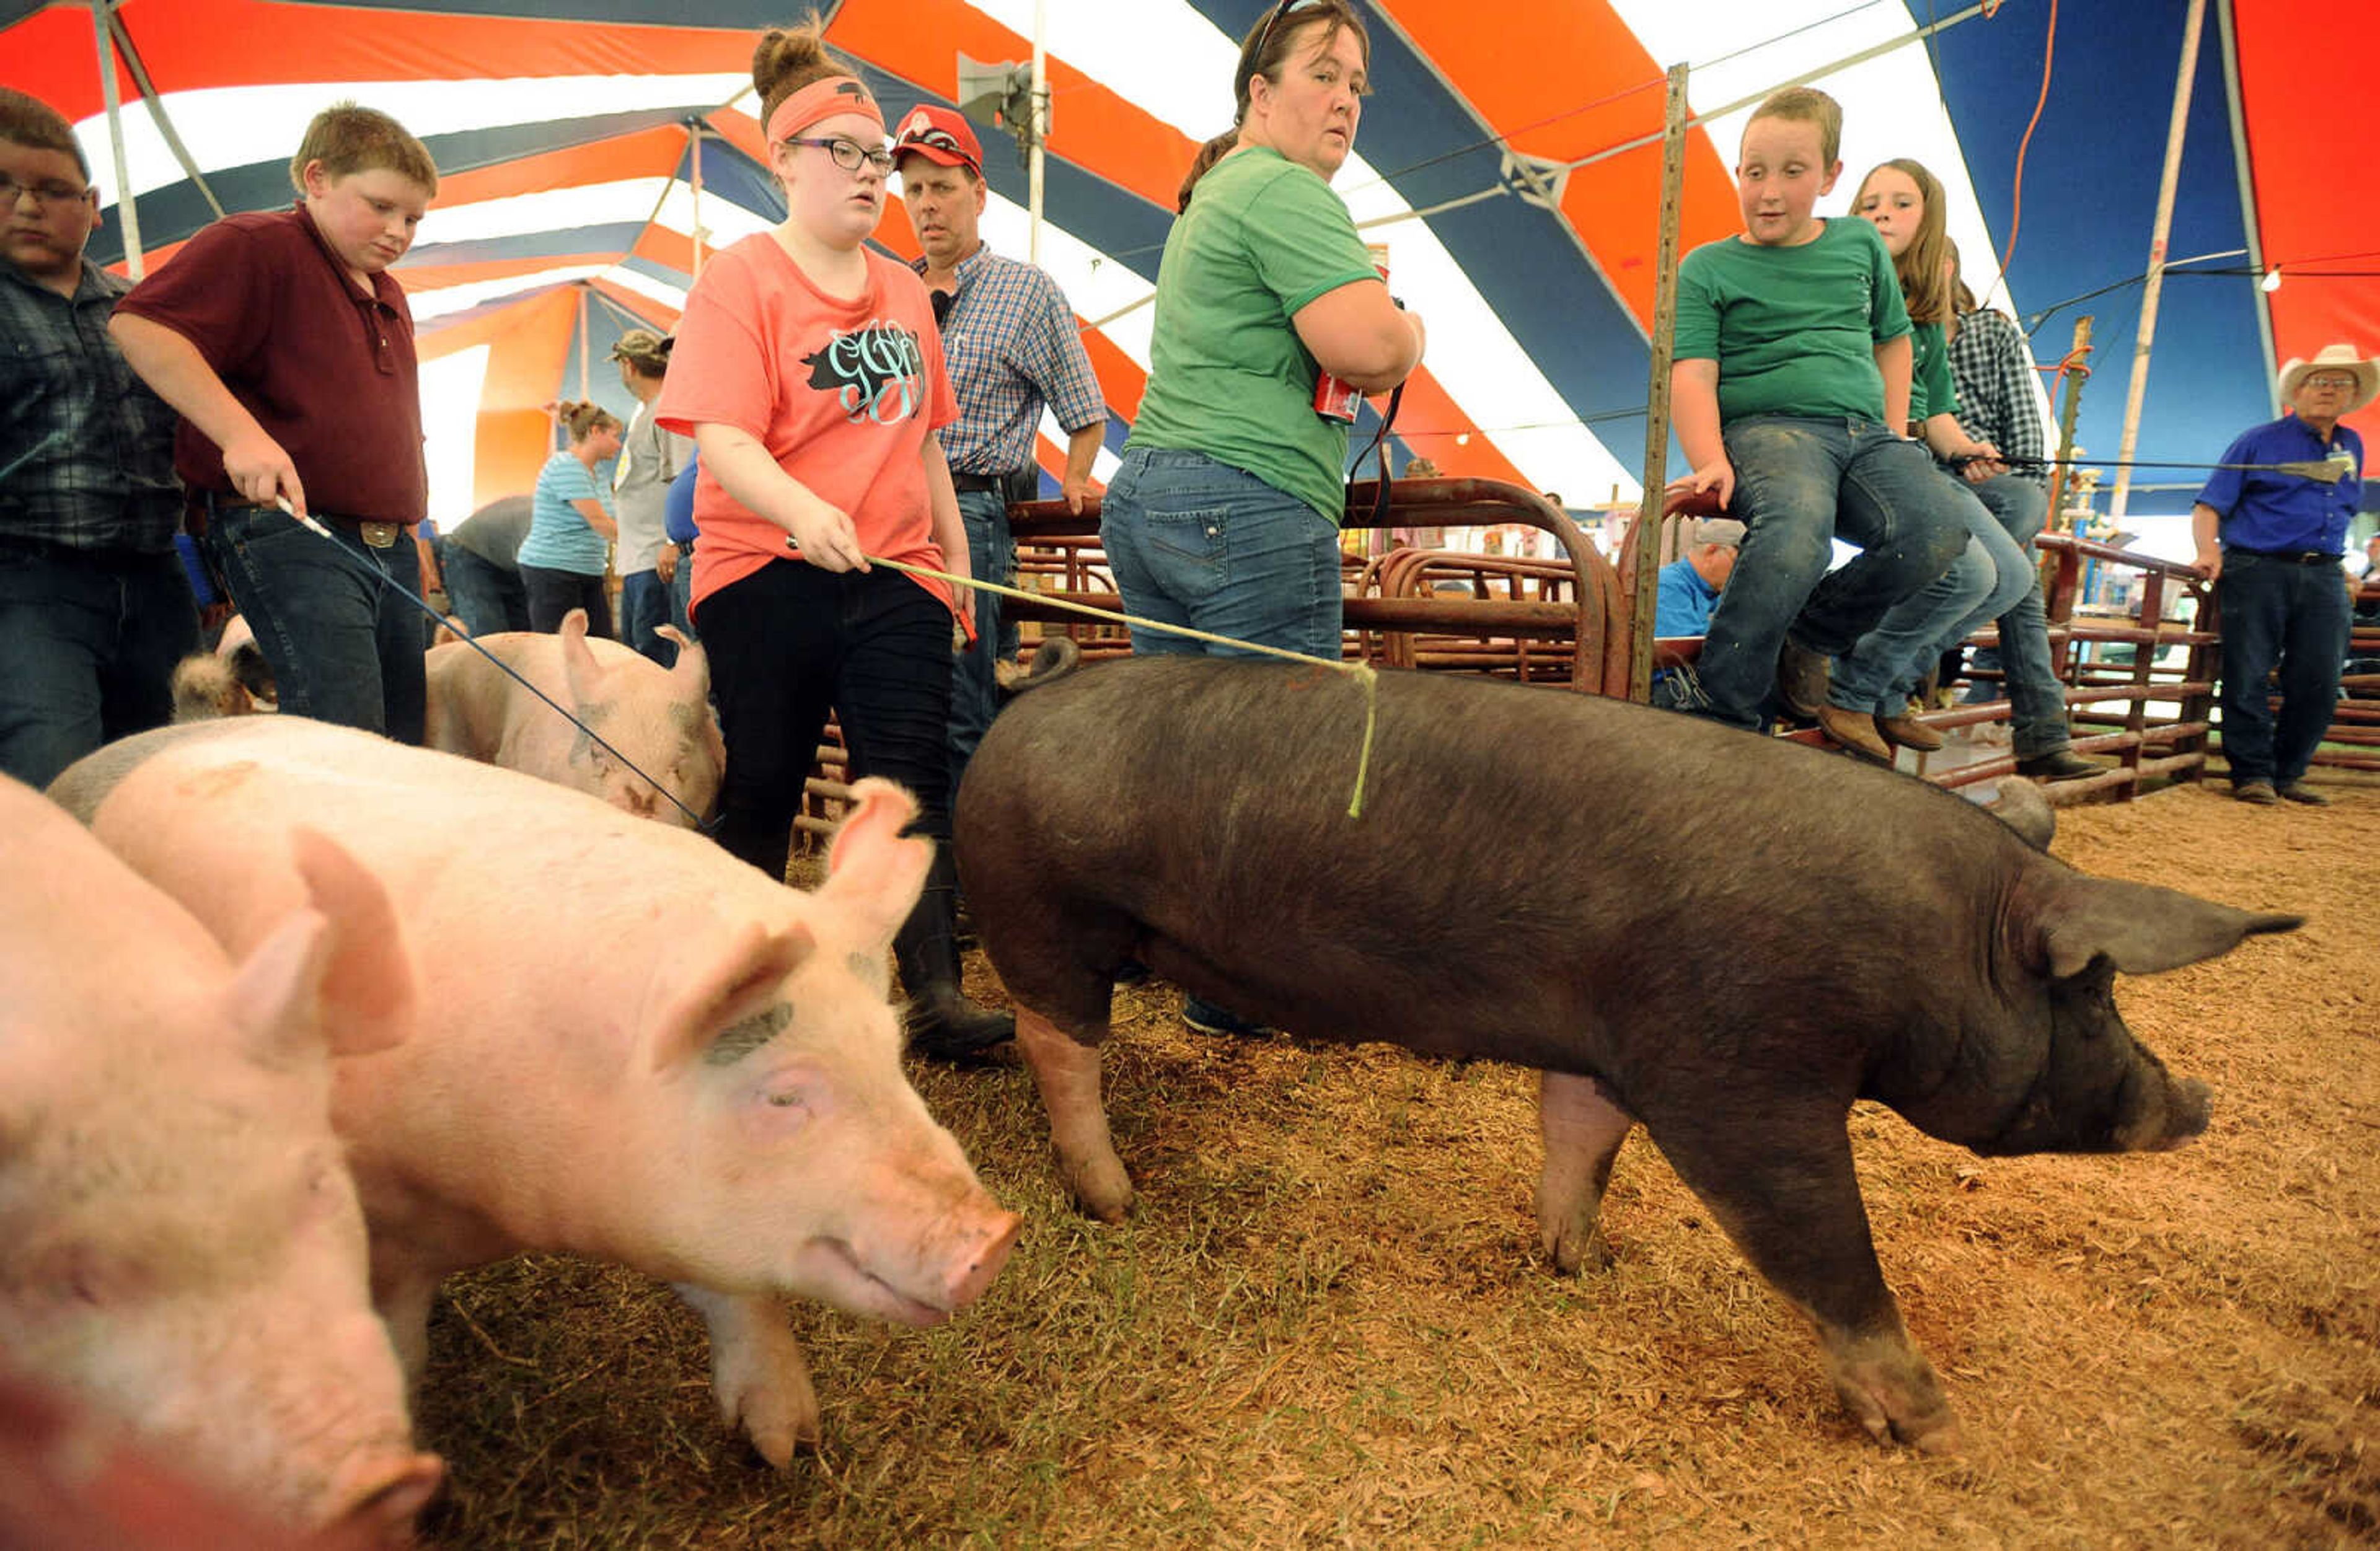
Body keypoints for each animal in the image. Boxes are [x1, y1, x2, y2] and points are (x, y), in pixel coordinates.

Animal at [53, 723, 1023, 1456]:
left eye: (892, 1051)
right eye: (784, 1096)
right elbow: (397, 1349)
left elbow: (736, 1291)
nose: (997, 1233)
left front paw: (786, 1447)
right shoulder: (385, 1225)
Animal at [952, 656, 2304, 1456]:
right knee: (1058, 1041)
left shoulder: (1612, 1041)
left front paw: (1580, 1262)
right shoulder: (1741, 1072)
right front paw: (1929, 1425)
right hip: (1048, 915)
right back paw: (1113, 1198)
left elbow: (1580, 1138)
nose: (2194, 1097)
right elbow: (1818, 1238)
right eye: (2096, 994)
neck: (1936, 940)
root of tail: (1025, 698)